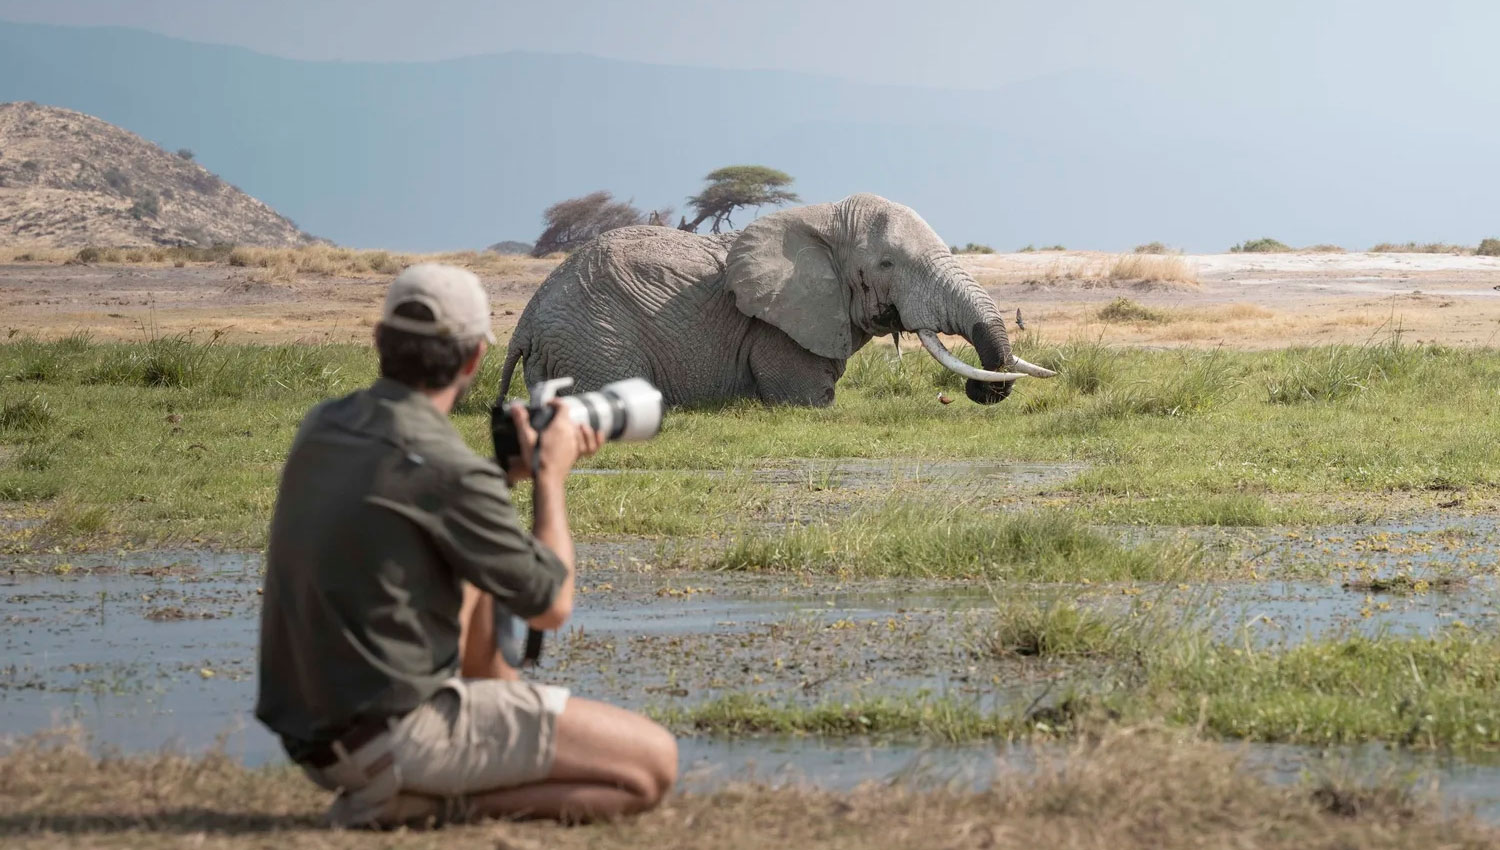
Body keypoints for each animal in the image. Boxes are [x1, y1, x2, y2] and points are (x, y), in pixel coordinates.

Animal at [498, 193, 1055, 408]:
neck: (823, 217)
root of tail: (525, 321)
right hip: (594, 340)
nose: (974, 391)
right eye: (887, 265)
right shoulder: (779, 327)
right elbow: (807, 398)